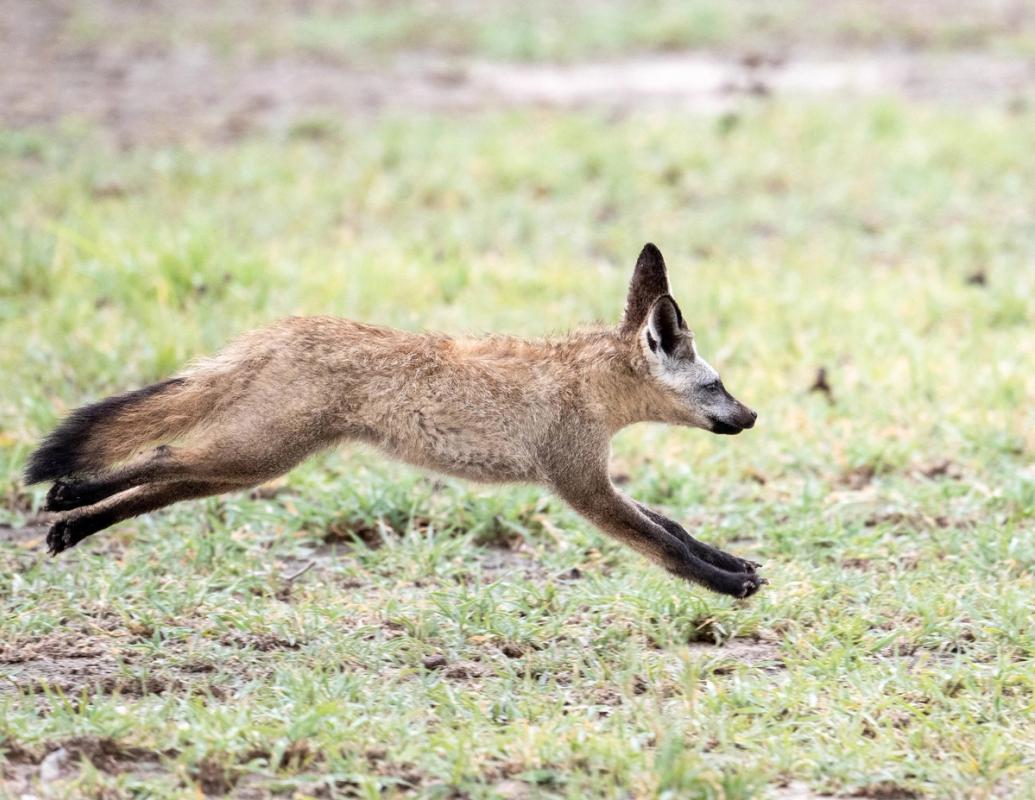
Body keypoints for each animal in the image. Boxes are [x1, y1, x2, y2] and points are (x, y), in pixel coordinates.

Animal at [24, 246, 765, 596]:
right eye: (716, 384)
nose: (752, 415)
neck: (587, 382)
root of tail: (274, 333)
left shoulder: (591, 480)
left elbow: (676, 528)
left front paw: (733, 562)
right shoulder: (579, 485)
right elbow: (664, 545)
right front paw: (727, 585)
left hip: (248, 465)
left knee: (163, 480)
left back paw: (70, 522)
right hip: (255, 456)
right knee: (159, 458)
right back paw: (68, 500)